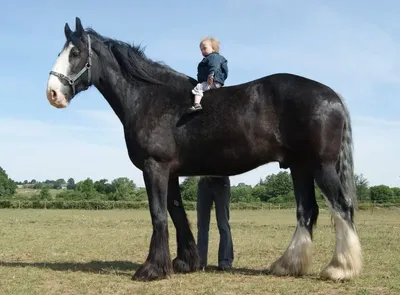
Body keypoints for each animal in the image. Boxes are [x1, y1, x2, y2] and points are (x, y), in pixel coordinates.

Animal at [45, 17, 360, 282]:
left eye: (75, 53)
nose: (53, 94)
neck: (150, 97)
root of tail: (332, 95)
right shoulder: (170, 172)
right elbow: (177, 213)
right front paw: (185, 262)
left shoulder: (154, 167)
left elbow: (158, 215)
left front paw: (151, 269)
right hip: (299, 167)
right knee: (306, 211)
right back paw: (287, 265)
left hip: (321, 166)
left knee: (341, 206)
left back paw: (340, 269)